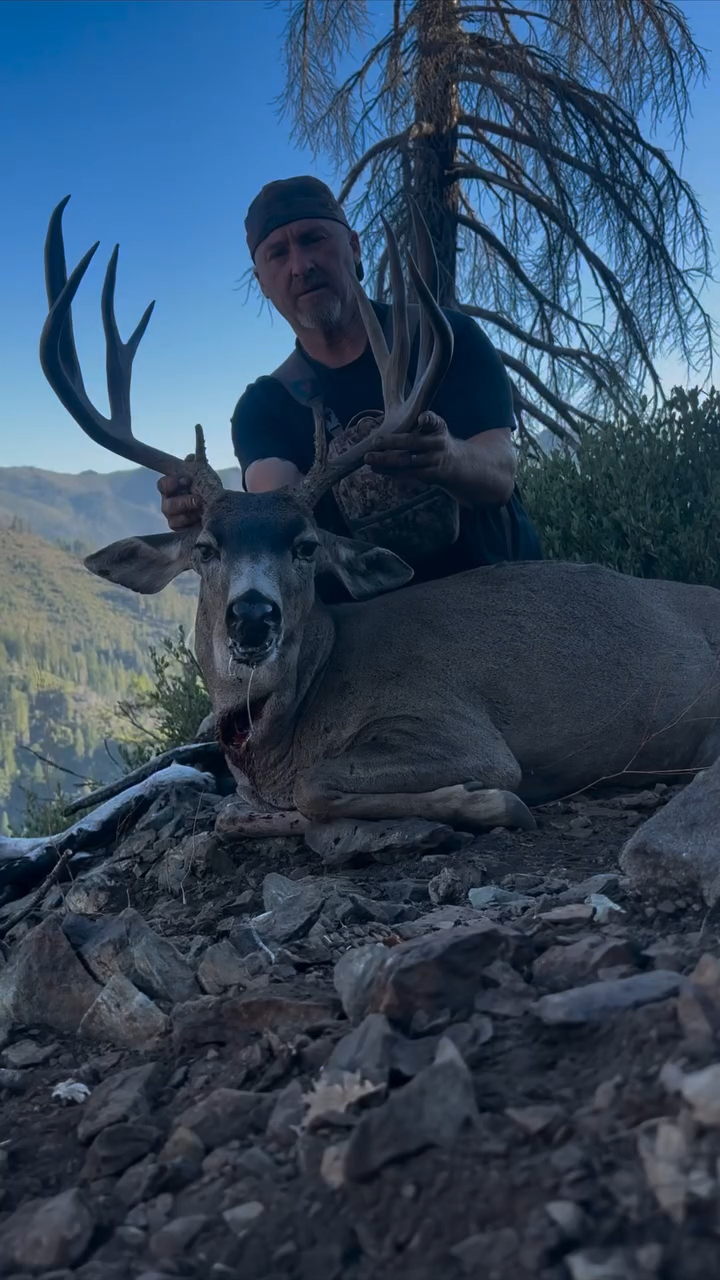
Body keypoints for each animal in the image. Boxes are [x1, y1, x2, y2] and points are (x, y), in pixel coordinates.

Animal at [39, 196, 720, 841]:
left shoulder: (459, 728)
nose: (253, 616)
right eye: (205, 547)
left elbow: (317, 786)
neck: (289, 726)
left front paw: (489, 803)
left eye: (306, 545)